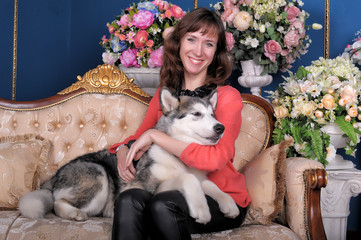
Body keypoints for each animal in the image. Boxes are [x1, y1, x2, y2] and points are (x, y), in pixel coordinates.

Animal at [19, 87, 239, 224]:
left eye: (213, 115)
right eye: (196, 114)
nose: (221, 128)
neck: (178, 155)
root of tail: (55, 176)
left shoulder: (199, 176)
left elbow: (209, 184)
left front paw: (228, 203)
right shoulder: (152, 187)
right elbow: (188, 178)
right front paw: (201, 209)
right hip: (99, 177)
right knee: (57, 203)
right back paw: (74, 213)